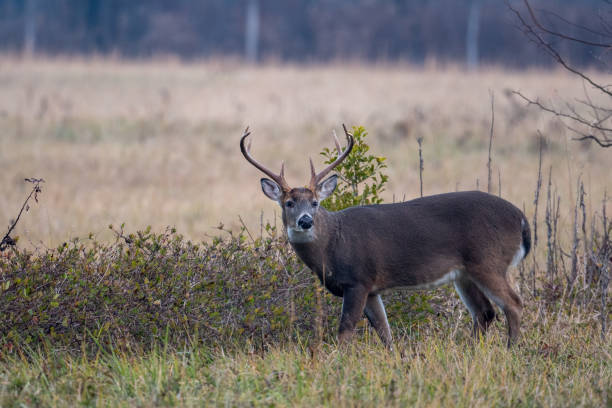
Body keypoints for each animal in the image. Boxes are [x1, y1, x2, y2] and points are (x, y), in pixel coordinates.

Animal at [239, 124, 532, 348]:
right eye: (289, 203)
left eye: (314, 203)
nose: (306, 221)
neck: (332, 243)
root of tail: (521, 219)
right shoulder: (372, 288)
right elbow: (385, 332)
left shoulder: (358, 279)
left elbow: (345, 331)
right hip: (464, 273)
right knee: (485, 312)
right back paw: (470, 351)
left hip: (488, 261)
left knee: (513, 304)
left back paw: (511, 350)